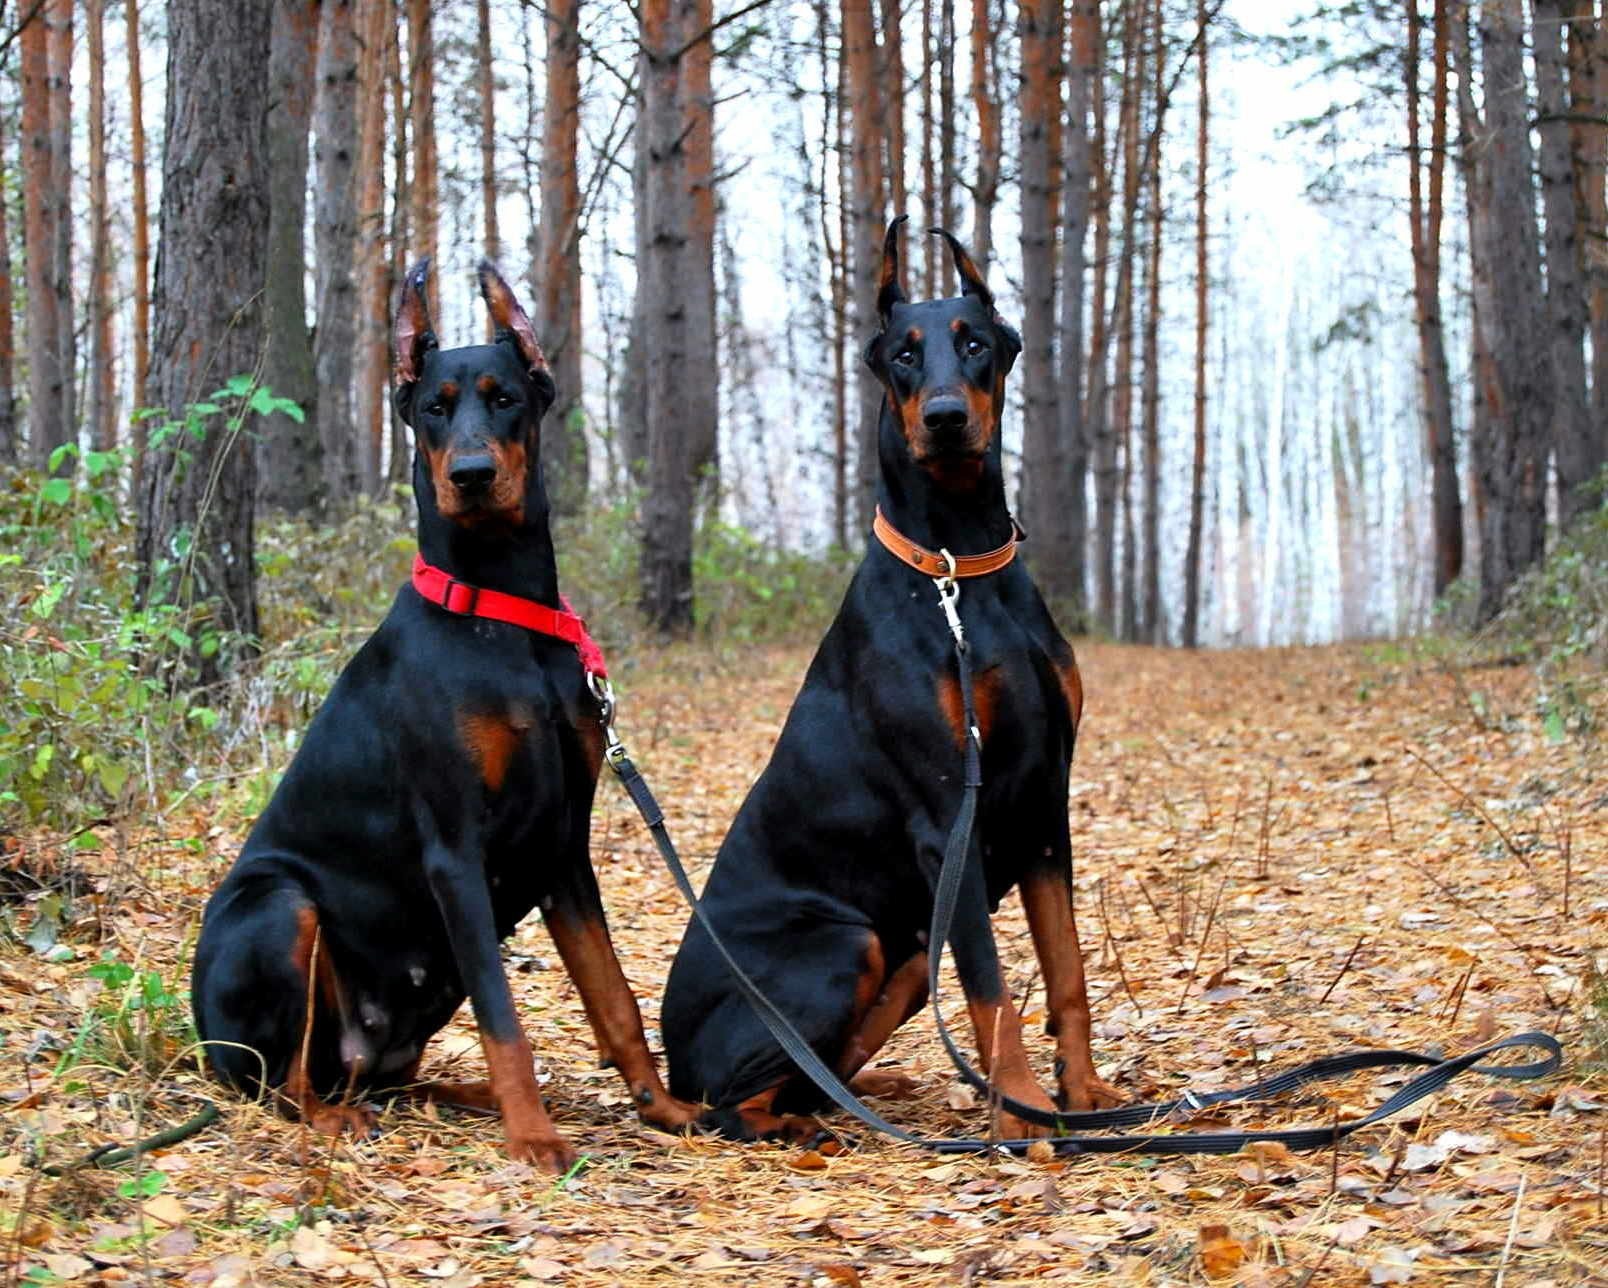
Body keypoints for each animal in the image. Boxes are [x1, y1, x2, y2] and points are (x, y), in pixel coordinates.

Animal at [189, 258, 697, 1164]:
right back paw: (342, 1117)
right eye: (433, 406)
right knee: (283, 1082)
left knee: (378, 1077)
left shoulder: (563, 848)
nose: (468, 475)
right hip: (276, 907)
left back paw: (458, 1096)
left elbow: (614, 996)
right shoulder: (454, 853)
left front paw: (661, 1106)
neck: (502, 613)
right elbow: (507, 1019)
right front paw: (534, 1137)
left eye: (505, 398)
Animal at [659, 218, 1125, 1138]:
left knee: (818, 1070)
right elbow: (990, 989)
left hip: (907, 953)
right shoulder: (949, 820)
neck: (959, 565)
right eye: (904, 355)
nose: (944, 419)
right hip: (852, 941)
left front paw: (1082, 1095)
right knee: (734, 1102)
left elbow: (1066, 969)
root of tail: (668, 1060)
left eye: (976, 343)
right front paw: (1022, 1115)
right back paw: (806, 1126)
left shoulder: (1045, 803)